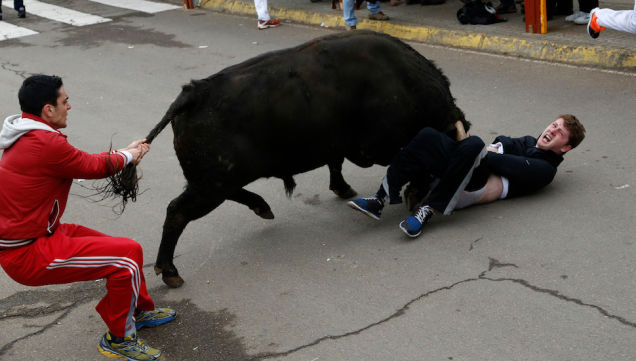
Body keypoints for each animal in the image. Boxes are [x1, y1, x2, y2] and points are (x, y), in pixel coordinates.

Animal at [115, 31, 472, 286]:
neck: (403, 82)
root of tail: (192, 93)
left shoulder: (339, 145)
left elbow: (336, 162)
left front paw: (343, 188)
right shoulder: (373, 148)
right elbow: (404, 161)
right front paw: (413, 192)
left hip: (214, 181)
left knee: (223, 196)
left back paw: (263, 207)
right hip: (210, 185)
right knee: (177, 212)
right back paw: (170, 271)